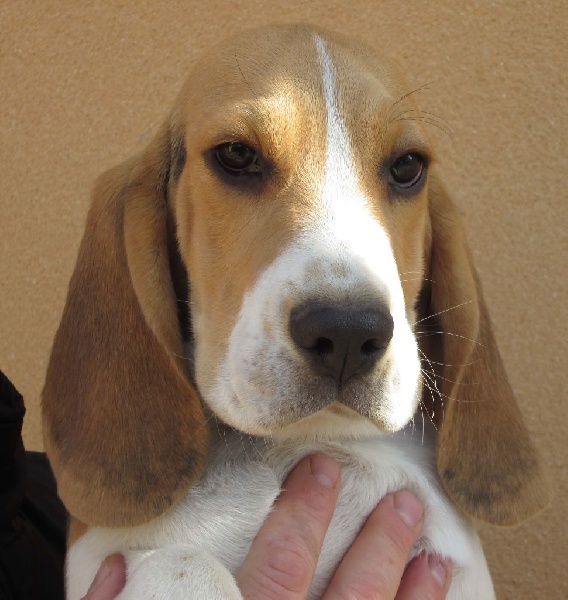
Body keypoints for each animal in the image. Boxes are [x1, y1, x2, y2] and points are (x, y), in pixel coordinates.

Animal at [42, 23, 548, 600]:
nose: (348, 333)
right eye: (236, 155)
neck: (308, 440)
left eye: (407, 167)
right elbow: (185, 563)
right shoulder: (103, 556)